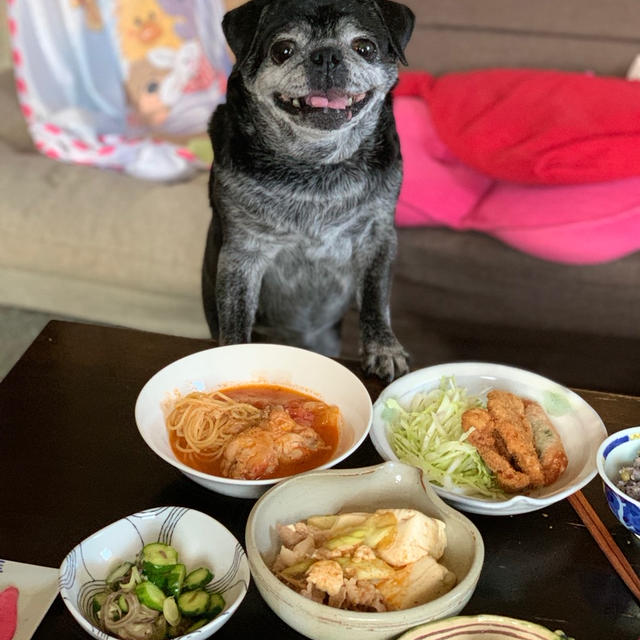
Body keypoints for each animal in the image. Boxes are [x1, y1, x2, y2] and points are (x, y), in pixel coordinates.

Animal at [204, 0, 416, 380]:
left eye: (365, 47)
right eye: (282, 50)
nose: (326, 56)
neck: (315, 165)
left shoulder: (377, 239)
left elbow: (376, 298)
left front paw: (383, 348)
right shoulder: (242, 253)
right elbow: (235, 316)